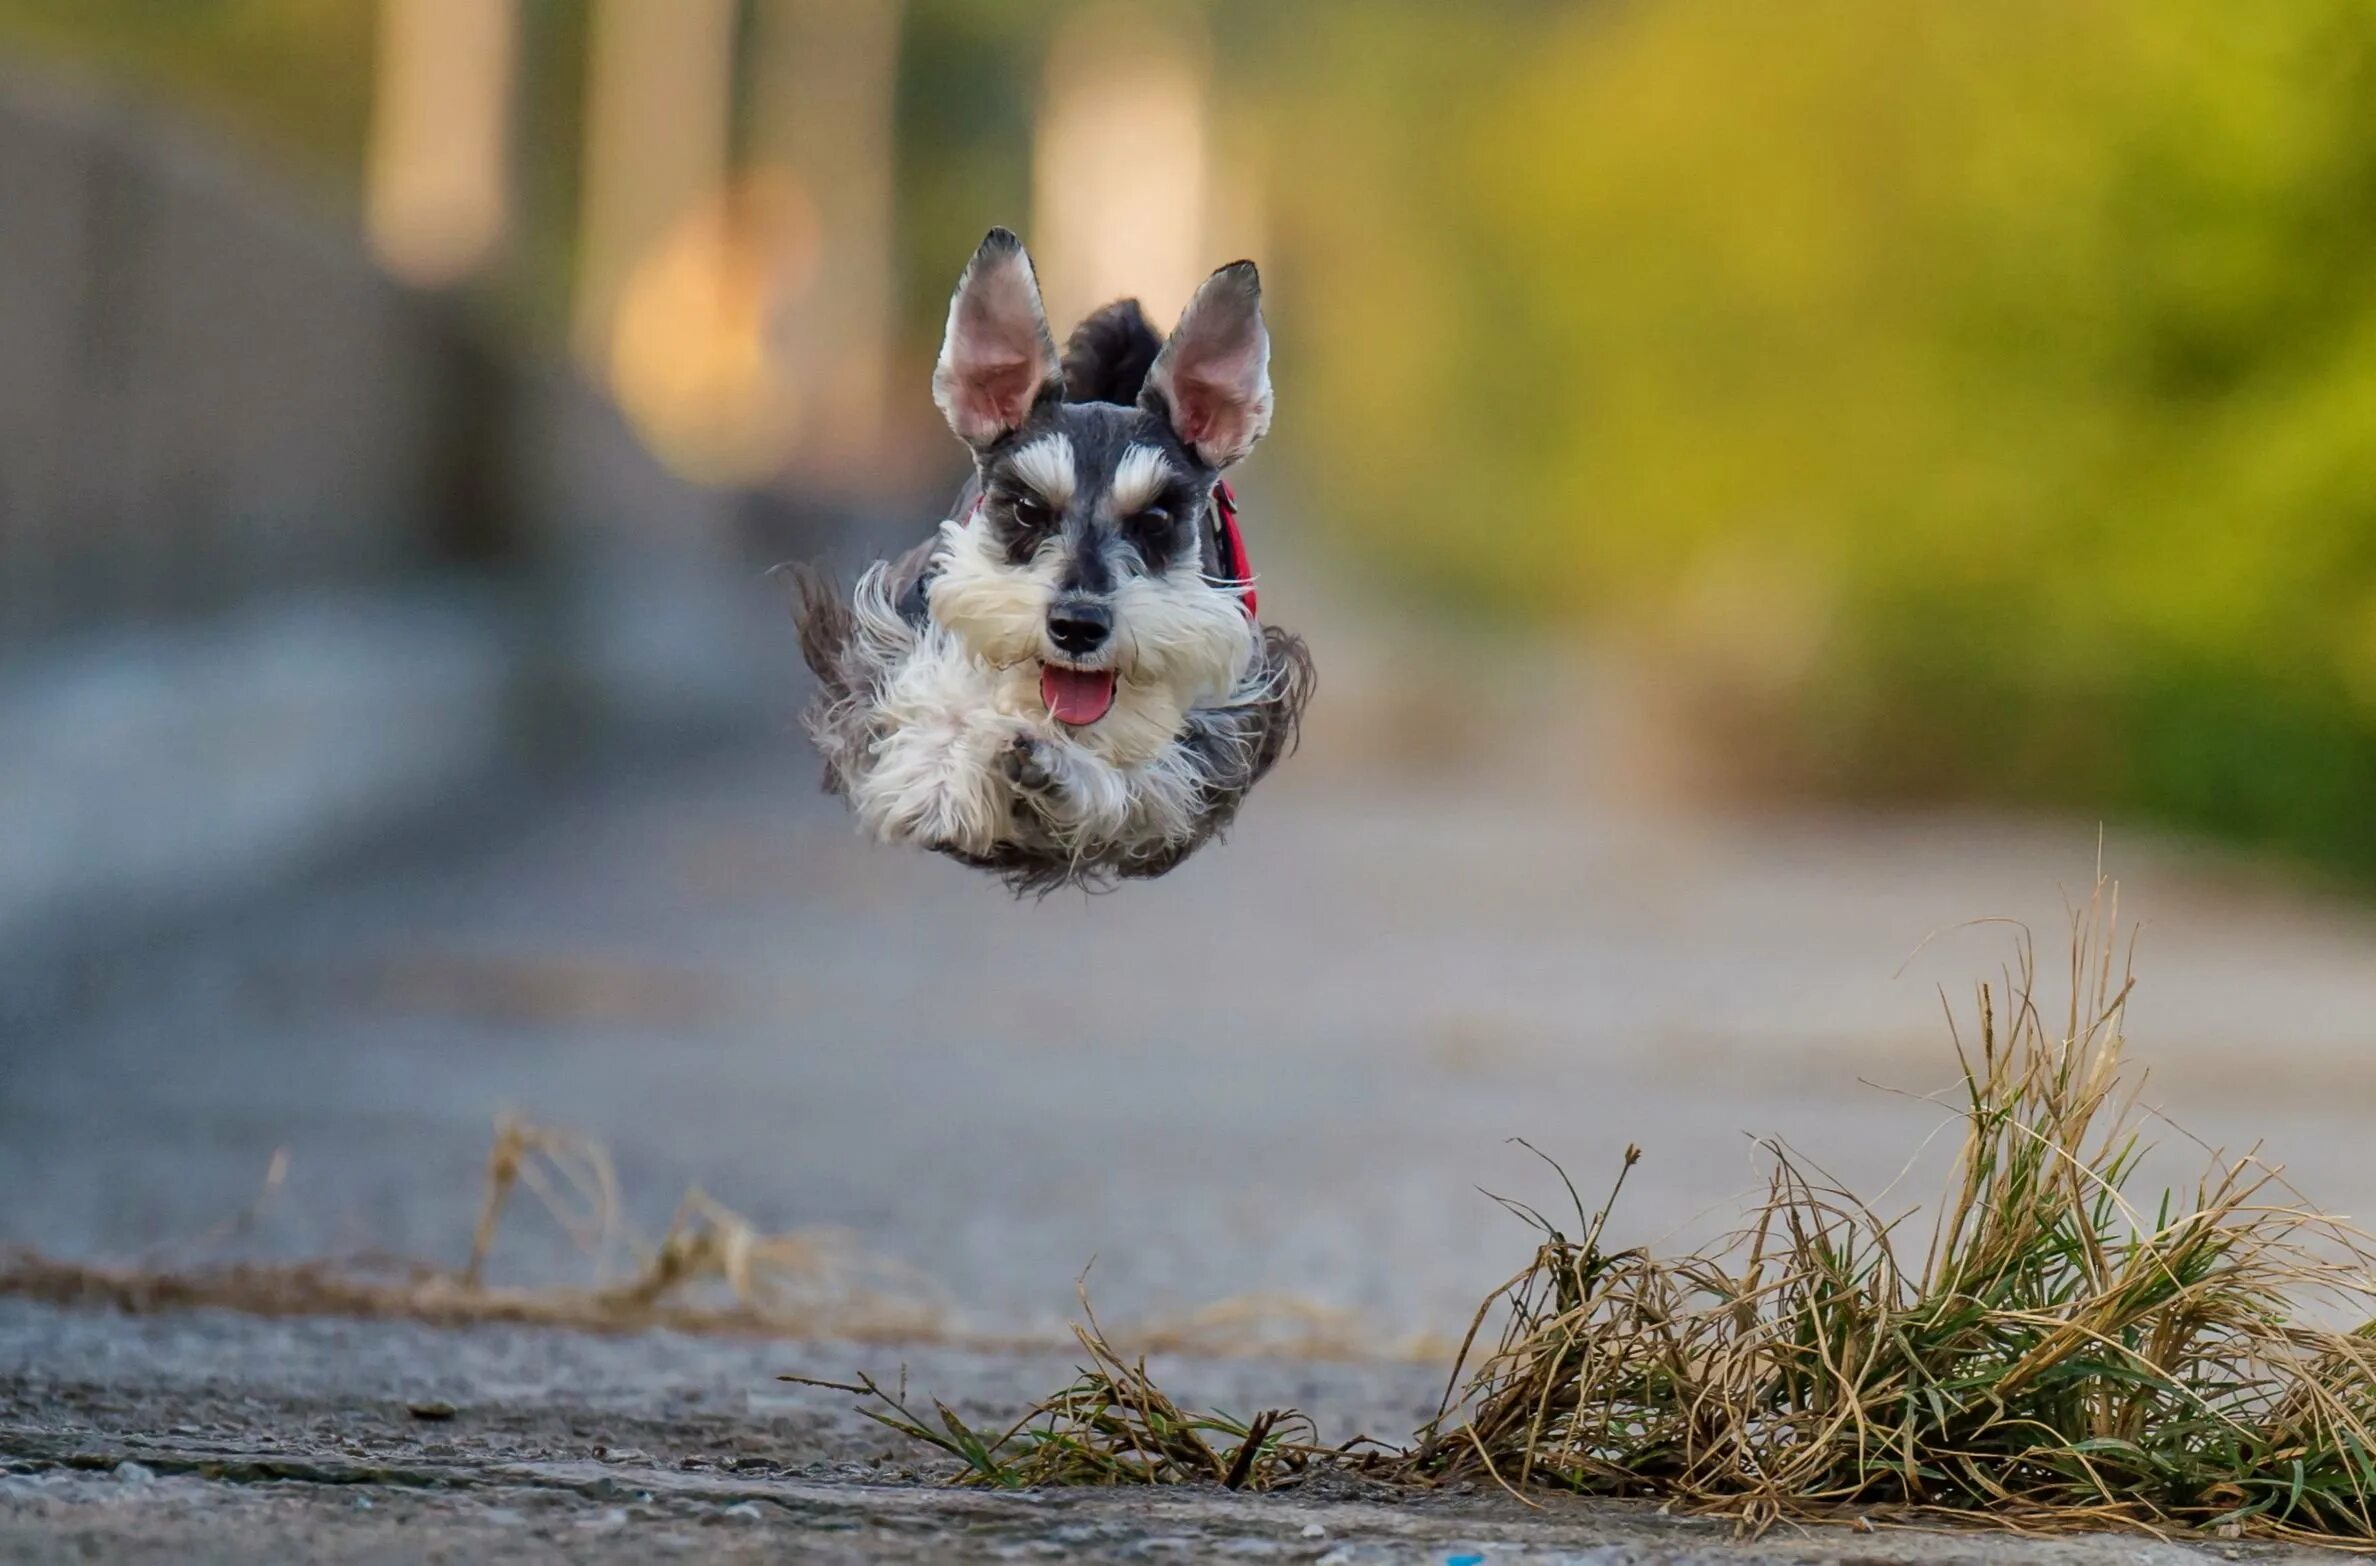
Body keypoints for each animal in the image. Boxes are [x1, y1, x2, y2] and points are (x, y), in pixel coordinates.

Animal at [798, 223, 1321, 893]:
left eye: (1155, 519)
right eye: (1026, 508)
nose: (1077, 625)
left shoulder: (1224, 735)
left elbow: (1141, 780)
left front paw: (1058, 767)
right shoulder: (882, 649)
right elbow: (925, 714)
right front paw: (944, 777)